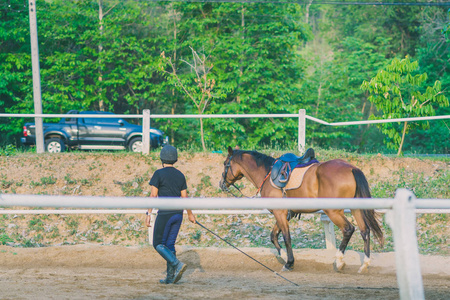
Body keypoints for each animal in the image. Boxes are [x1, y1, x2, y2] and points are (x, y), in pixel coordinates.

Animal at [218, 146, 384, 274]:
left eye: (226, 164)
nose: (221, 184)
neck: (268, 174)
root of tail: (351, 168)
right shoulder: (285, 213)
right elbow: (274, 235)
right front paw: (283, 256)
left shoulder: (280, 213)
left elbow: (286, 237)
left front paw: (289, 263)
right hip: (356, 209)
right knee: (365, 231)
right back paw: (364, 265)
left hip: (333, 211)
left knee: (348, 229)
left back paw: (339, 262)